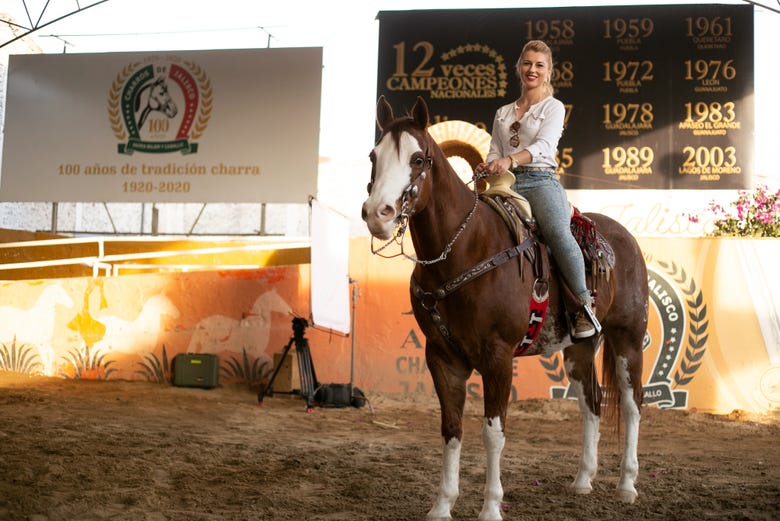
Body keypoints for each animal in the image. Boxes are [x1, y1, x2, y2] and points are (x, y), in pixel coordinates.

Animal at [362, 95, 648, 516]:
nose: (376, 213)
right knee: (591, 404)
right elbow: (451, 429)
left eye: (418, 159)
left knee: (631, 403)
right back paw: (582, 480)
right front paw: (442, 506)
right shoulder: (442, 357)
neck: (463, 250)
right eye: (373, 156)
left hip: (627, 338)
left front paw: (491, 508)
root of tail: (624, 238)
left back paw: (627, 485)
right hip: (580, 348)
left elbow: (493, 433)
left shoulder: (497, 357)